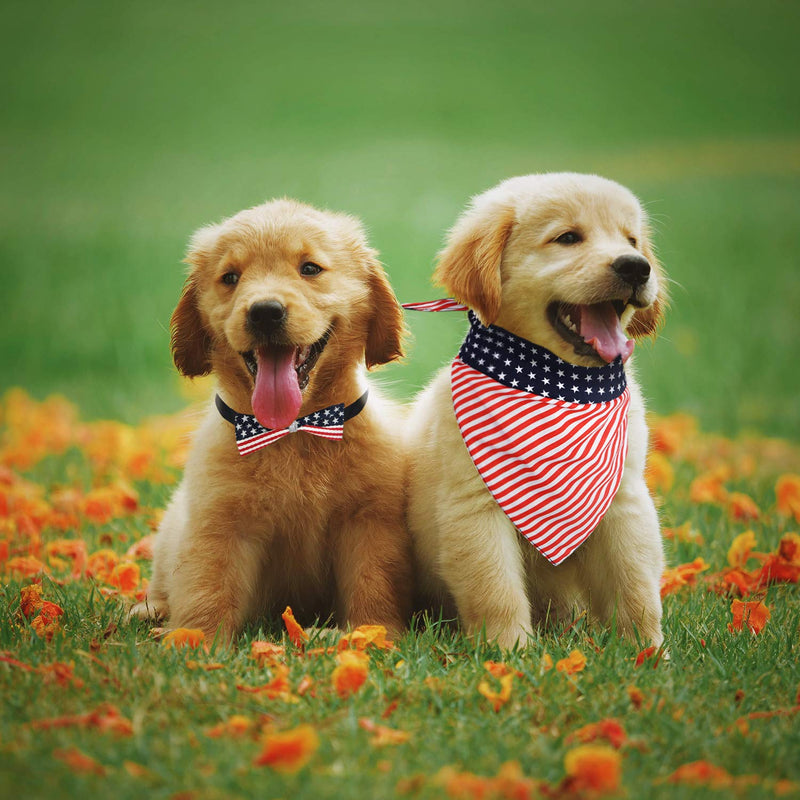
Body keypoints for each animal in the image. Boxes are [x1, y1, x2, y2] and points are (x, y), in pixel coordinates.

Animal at [132, 200, 412, 644]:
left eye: (310, 268)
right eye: (230, 277)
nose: (265, 312)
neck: (293, 430)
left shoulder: (369, 522)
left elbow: (373, 583)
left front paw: (371, 633)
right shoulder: (219, 523)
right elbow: (207, 586)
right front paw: (194, 640)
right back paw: (149, 611)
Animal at [410, 172, 664, 648]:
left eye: (632, 240)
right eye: (567, 238)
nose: (637, 267)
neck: (563, 390)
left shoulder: (623, 499)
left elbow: (636, 585)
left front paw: (648, 651)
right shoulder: (475, 509)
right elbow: (496, 590)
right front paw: (510, 651)